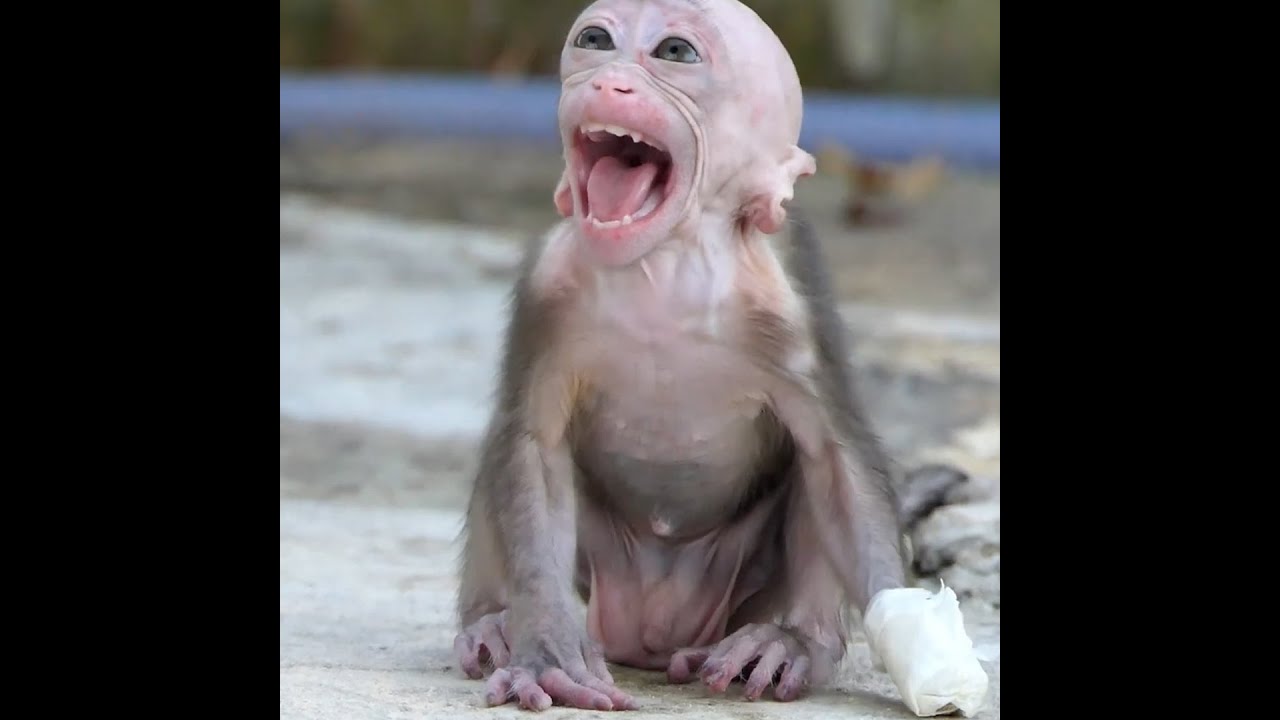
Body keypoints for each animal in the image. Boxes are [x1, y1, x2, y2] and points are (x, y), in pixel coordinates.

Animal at [450, 0, 963, 712]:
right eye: (594, 41)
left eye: (675, 52)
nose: (610, 82)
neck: (665, 263)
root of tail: (651, 629)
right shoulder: (546, 282)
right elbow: (531, 444)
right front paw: (547, 653)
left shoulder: (790, 297)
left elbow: (835, 458)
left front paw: (918, 643)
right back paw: (494, 621)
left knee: (809, 469)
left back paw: (786, 641)